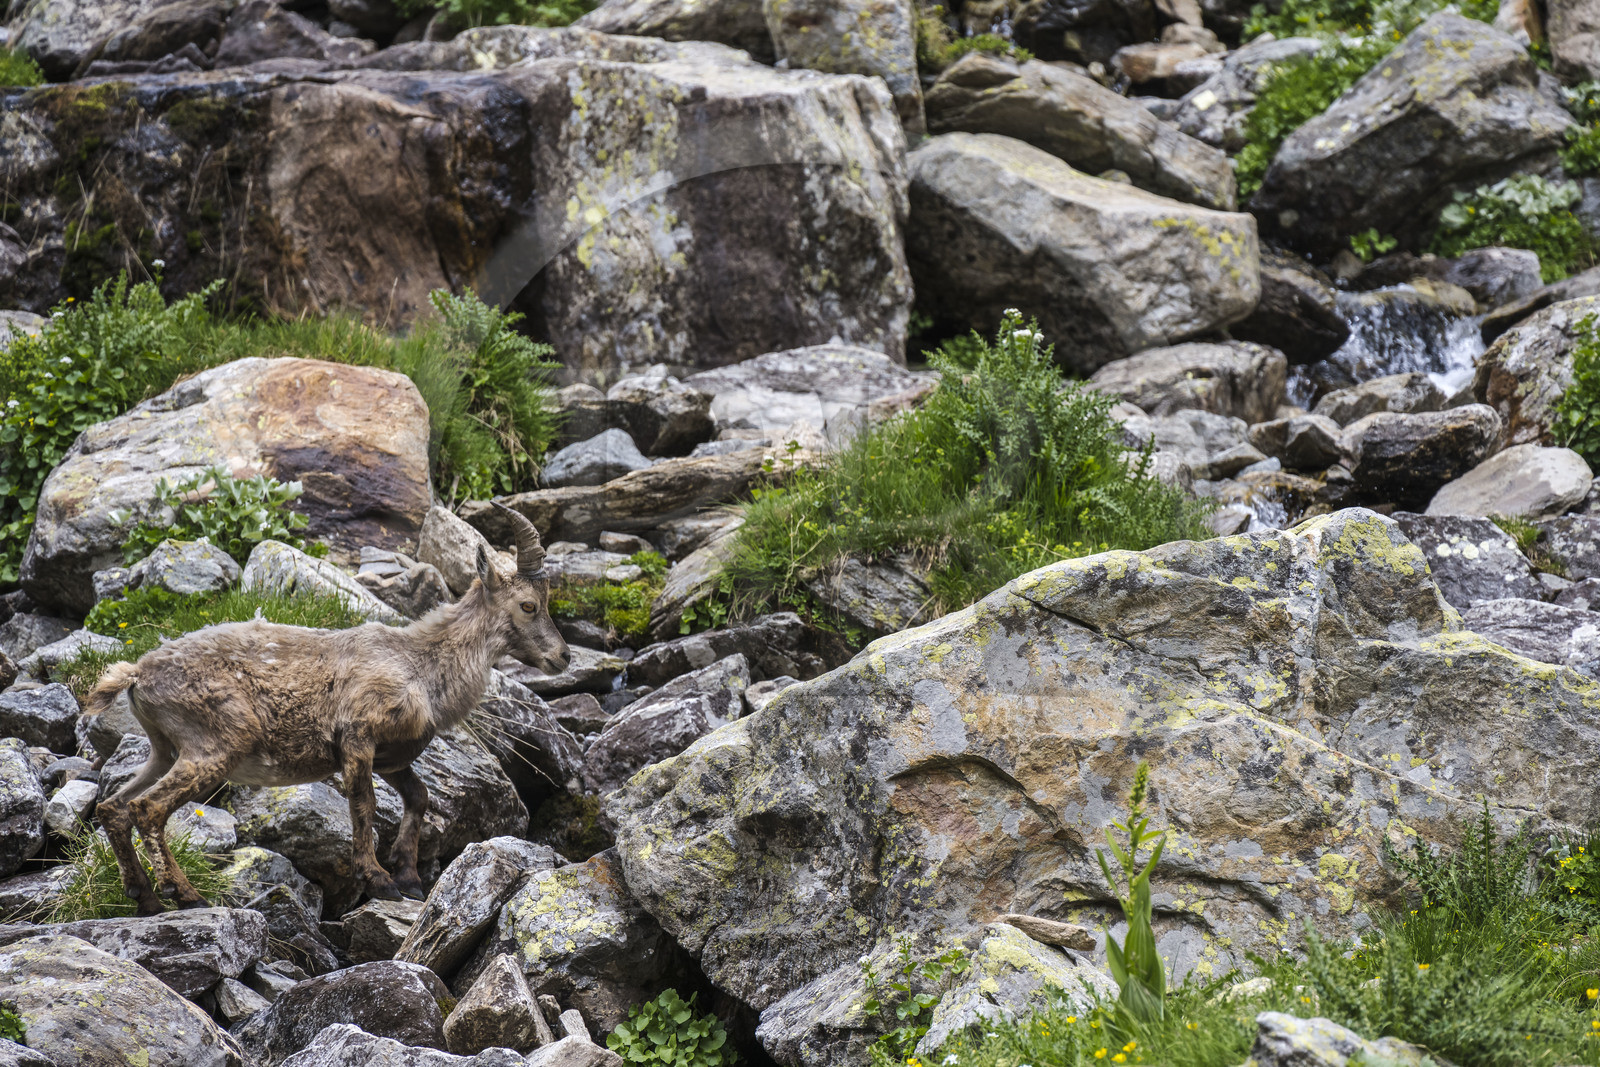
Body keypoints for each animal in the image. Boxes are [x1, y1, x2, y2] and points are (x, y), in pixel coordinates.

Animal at [83, 504, 569, 915]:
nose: (563, 656)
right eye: (529, 605)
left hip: (163, 748)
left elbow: (419, 796)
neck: (420, 666)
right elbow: (364, 803)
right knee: (147, 809)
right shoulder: (357, 736)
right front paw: (378, 879)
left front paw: (409, 877)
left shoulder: (393, 757)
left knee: (113, 808)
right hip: (215, 743)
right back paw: (185, 894)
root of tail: (137, 675)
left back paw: (144, 897)